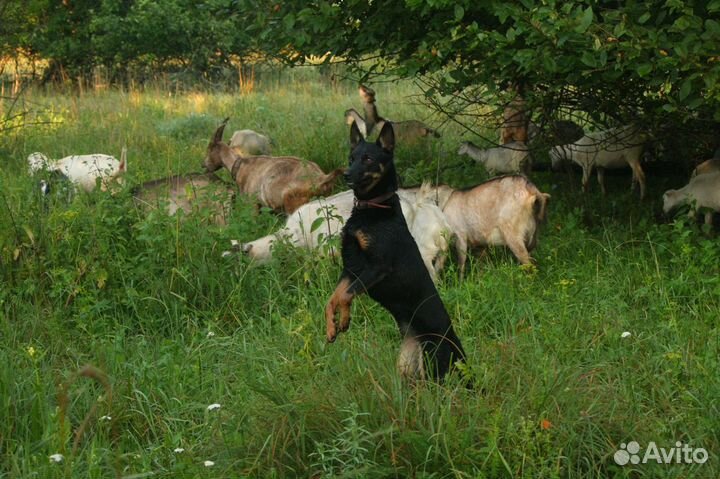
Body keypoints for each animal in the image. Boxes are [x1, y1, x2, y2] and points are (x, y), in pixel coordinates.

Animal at [202, 118, 346, 214]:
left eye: (209, 148)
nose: (203, 165)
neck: (240, 164)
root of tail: (320, 177)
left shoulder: (253, 203)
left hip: (294, 203)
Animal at [326, 122, 466, 384]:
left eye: (368, 158)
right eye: (351, 158)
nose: (346, 174)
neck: (373, 209)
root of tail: (456, 346)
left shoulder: (376, 267)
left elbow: (345, 295)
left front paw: (344, 319)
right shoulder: (351, 268)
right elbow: (334, 298)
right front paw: (333, 326)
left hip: (435, 366)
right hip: (407, 366)